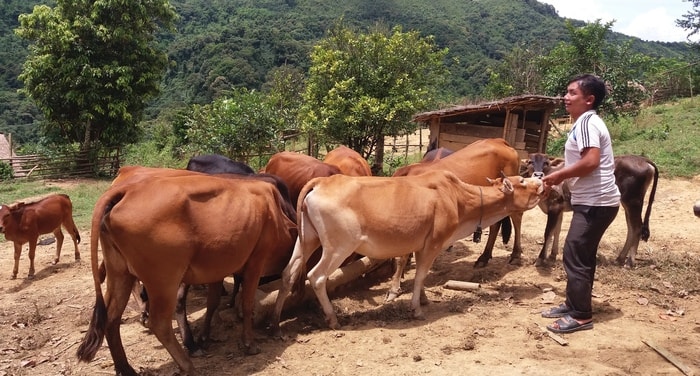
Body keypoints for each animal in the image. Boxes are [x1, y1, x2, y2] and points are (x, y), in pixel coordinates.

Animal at [76, 173, 298, 376]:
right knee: (159, 323)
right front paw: (249, 344)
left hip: (120, 273)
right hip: (164, 280)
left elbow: (213, 302)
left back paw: (126, 369)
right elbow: (247, 303)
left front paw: (204, 338)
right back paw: (187, 365)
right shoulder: (256, 262)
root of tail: (127, 190)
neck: (276, 213)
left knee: (111, 318)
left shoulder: (217, 268)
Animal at [270, 170, 544, 334]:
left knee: (288, 273)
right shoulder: (434, 242)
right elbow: (421, 274)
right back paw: (333, 318)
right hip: (338, 246)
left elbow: (419, 276)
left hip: (307, 240)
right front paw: (417, 308)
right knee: (316, 277)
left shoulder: (421, 245)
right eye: (522, 181)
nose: (541, 179)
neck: (456, 198)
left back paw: (275, 322)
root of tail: (323, 181)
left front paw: (422, 298)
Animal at [528, 153, 660, 268]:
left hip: (633, 201)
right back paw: (620, 258)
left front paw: (540, 259)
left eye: (546, 162)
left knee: (637, 228)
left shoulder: (554, 207)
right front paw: (552, 255)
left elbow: (548, 233)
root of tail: (643, 160)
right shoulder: (559, 210)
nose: (538, 175)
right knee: (631, 229)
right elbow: (557, 231)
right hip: (627, 203)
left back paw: (629, 262)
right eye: (530, 162)